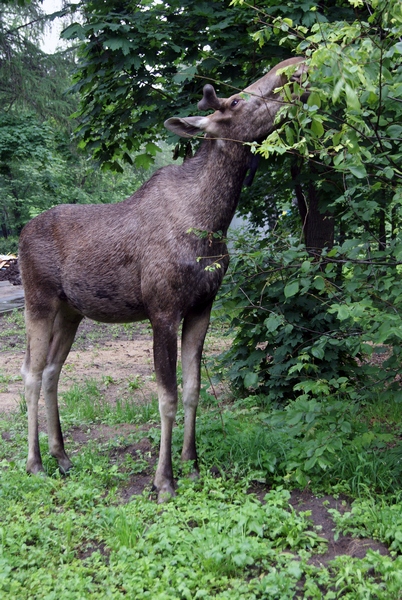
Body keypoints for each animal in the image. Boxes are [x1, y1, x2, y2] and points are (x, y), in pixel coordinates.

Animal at [18, 58, 306, 504]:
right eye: (235, 101)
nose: (295, 67)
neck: (212, 221)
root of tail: (19, 235)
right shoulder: (163, 309)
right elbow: (166, 397)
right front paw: (164, 480)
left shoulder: (202, 306)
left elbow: (193, 389)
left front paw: (193, 463)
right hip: (39, 300)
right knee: (30, 375)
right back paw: (35, 463)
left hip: (71, 311)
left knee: (51, 372)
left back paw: (62, 456)